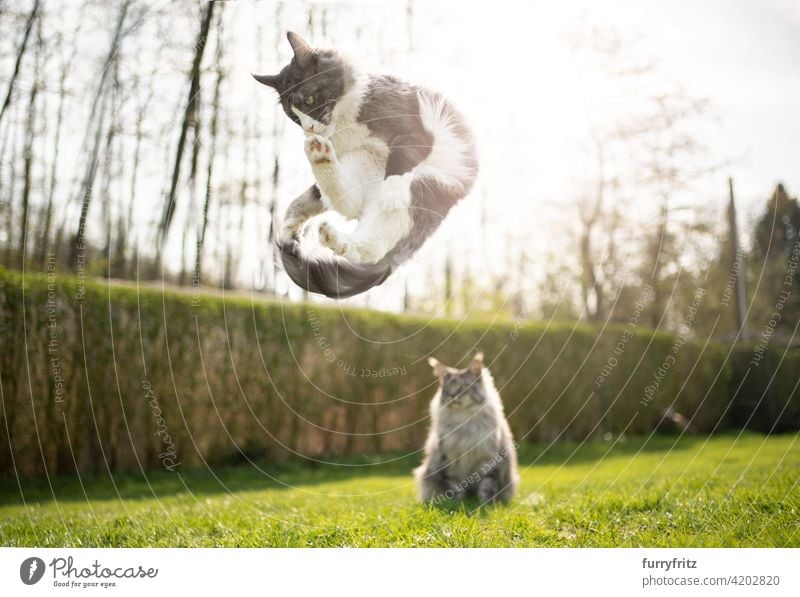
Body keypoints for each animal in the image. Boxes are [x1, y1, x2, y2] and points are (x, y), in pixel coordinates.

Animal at [252, 32, 476, 298]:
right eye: (293, 115)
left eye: (308, 99)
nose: (309, 129)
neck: (344, 124)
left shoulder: (416, 132)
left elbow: (401, 160)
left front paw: (392, 191)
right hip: (361, 162)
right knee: (345, 205)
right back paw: (318, 162)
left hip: (423, 187)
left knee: (373, 246)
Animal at [412, 352, 520, 506]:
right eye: (447, 389)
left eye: (463, 386)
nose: (452, 395)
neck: (463, 423)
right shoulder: (449, 462)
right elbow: (455, 488)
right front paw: (456, 505)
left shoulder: (488, 461)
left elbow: (487, 487)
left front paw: (487, 505)